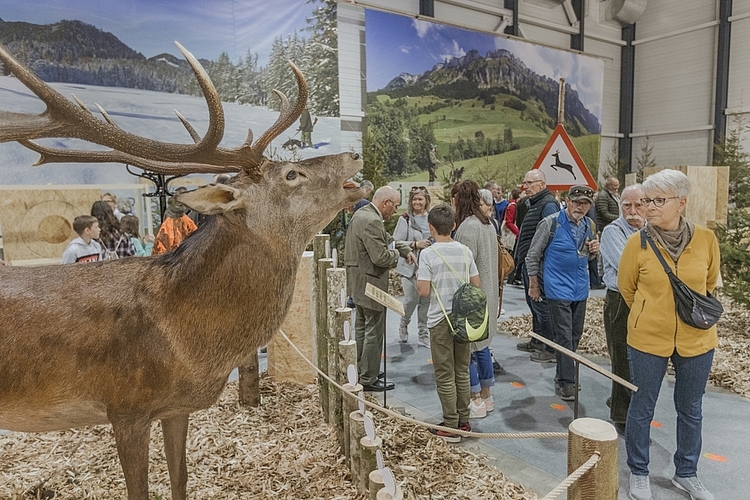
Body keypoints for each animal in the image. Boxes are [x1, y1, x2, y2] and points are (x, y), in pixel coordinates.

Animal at [0, 43, 364, 500]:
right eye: (291, 173)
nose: (354, 154)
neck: (184, 339)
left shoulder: (176, 407)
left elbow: (181, 476)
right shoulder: (126, 408)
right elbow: (139, 489)